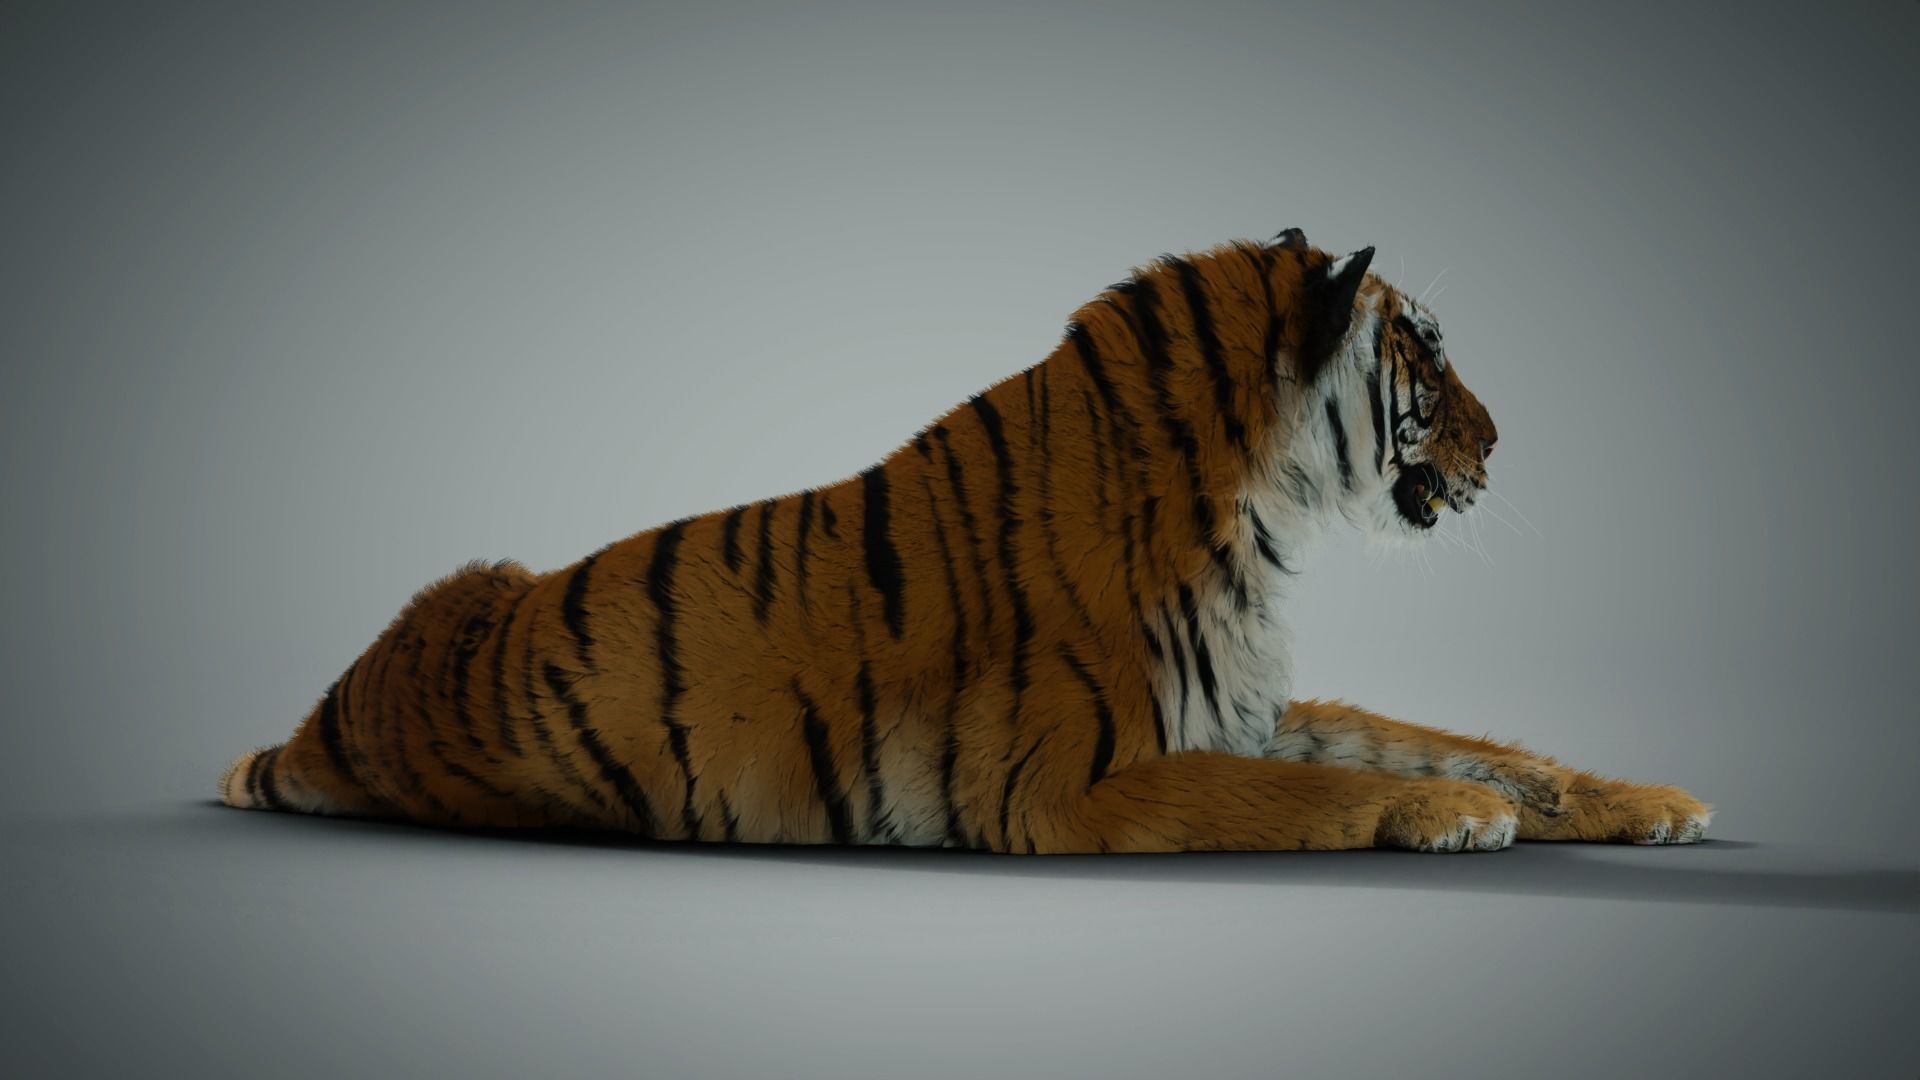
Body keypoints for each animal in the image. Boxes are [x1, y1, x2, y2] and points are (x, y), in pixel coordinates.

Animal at [219, 228, 1711, 853]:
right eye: (1430, 355)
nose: (1503, 442)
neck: (1261, 508)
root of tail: (327, 710)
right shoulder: (1065, 785)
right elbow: (1299, 798)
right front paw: (1453, 819)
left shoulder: (1244, 708)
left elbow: (1439, 739)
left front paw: (1651, 804)